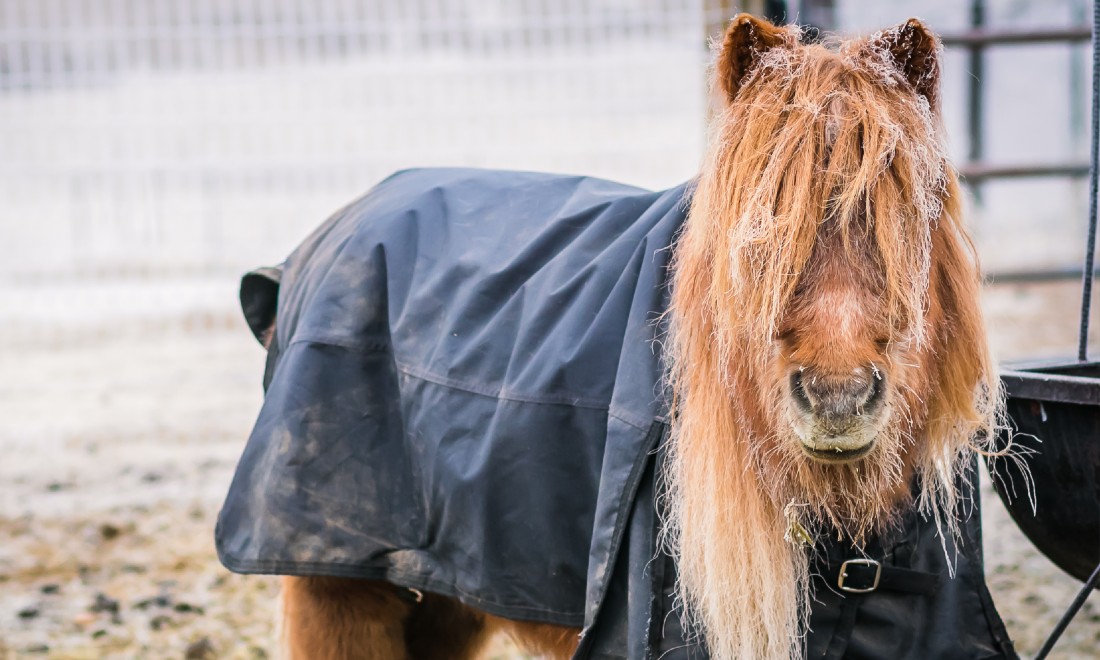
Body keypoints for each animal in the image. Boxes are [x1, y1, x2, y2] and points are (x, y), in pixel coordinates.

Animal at [218, 14, 1009, 659]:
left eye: (909, 213)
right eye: (758, 229)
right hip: (343, 592)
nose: (837, 398)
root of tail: (325, 239)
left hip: (449, 592)